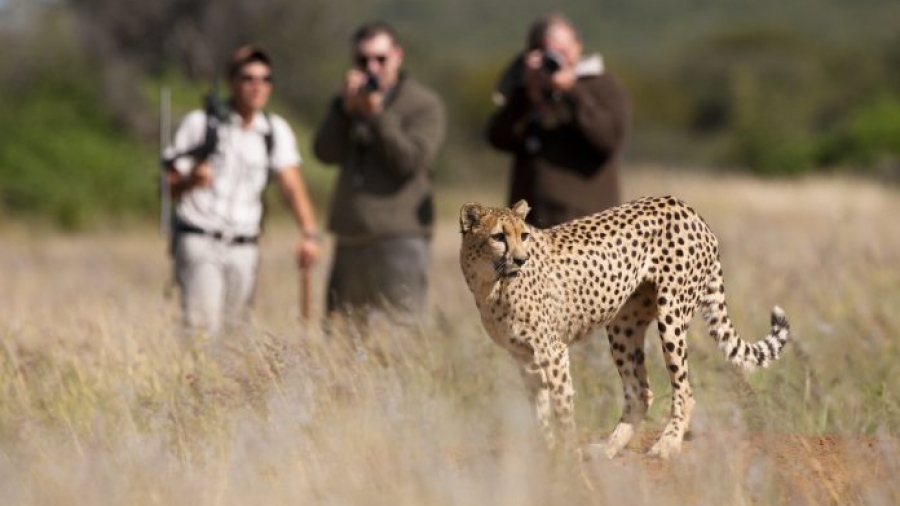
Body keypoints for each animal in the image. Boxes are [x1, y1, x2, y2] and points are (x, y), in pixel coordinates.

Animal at [460, 196, 792, 460]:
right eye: (498, 236)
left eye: (524, 235)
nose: (520, 259)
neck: (491, 285)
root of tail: (686, 207)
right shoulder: (524, 358)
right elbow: (540, 412)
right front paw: (548, 453)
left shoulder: (552, 352)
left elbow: (563, 408)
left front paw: (566, 458)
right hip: (623, 326)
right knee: (640, 392)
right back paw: (609, 448)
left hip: (672, 315)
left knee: (684, 391)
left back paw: (667, 445)